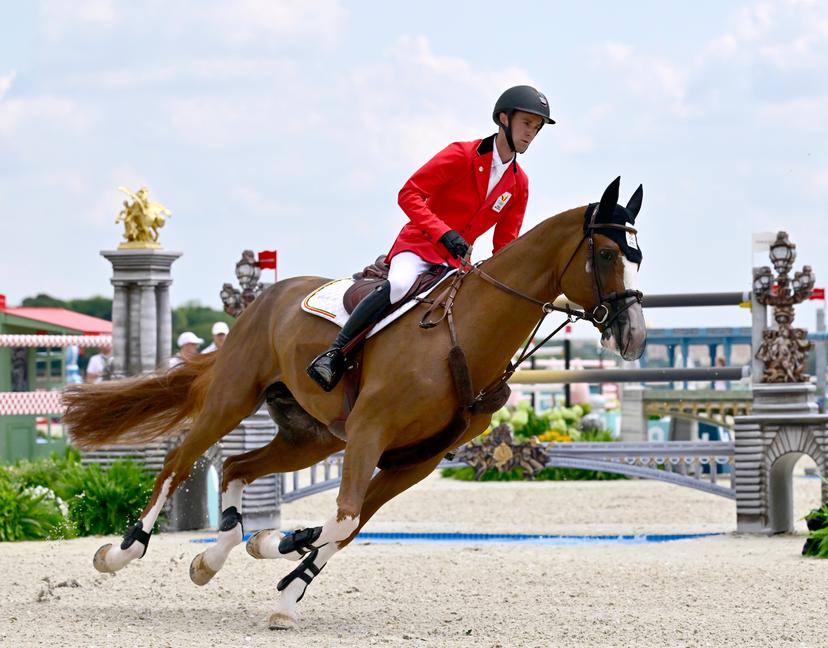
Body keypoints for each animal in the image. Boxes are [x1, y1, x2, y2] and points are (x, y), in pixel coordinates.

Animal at [63, 176, 647, 630]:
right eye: (607, 254)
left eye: (638, 256)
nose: (634, 336)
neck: (465, 337)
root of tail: (267, 295)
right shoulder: (370, 432)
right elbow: (343, 521)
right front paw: (283, 557)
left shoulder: (416, 460)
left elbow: (349, 526)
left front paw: (281, 570)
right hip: (235, 398)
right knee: (178, 462)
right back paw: (121, 550)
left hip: (311, 436)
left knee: (235, 465)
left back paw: (216, 553)